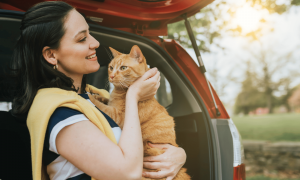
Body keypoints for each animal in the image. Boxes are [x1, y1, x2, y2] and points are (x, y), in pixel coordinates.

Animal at [89, 45, 191, 180]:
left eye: (123, 68)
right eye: (111, 67)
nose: (112, 76)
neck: (120, 91)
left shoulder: (119, 117)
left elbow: (103, 107)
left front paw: (90, 98)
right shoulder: (112, 104)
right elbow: (106, 100)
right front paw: (97, 95)